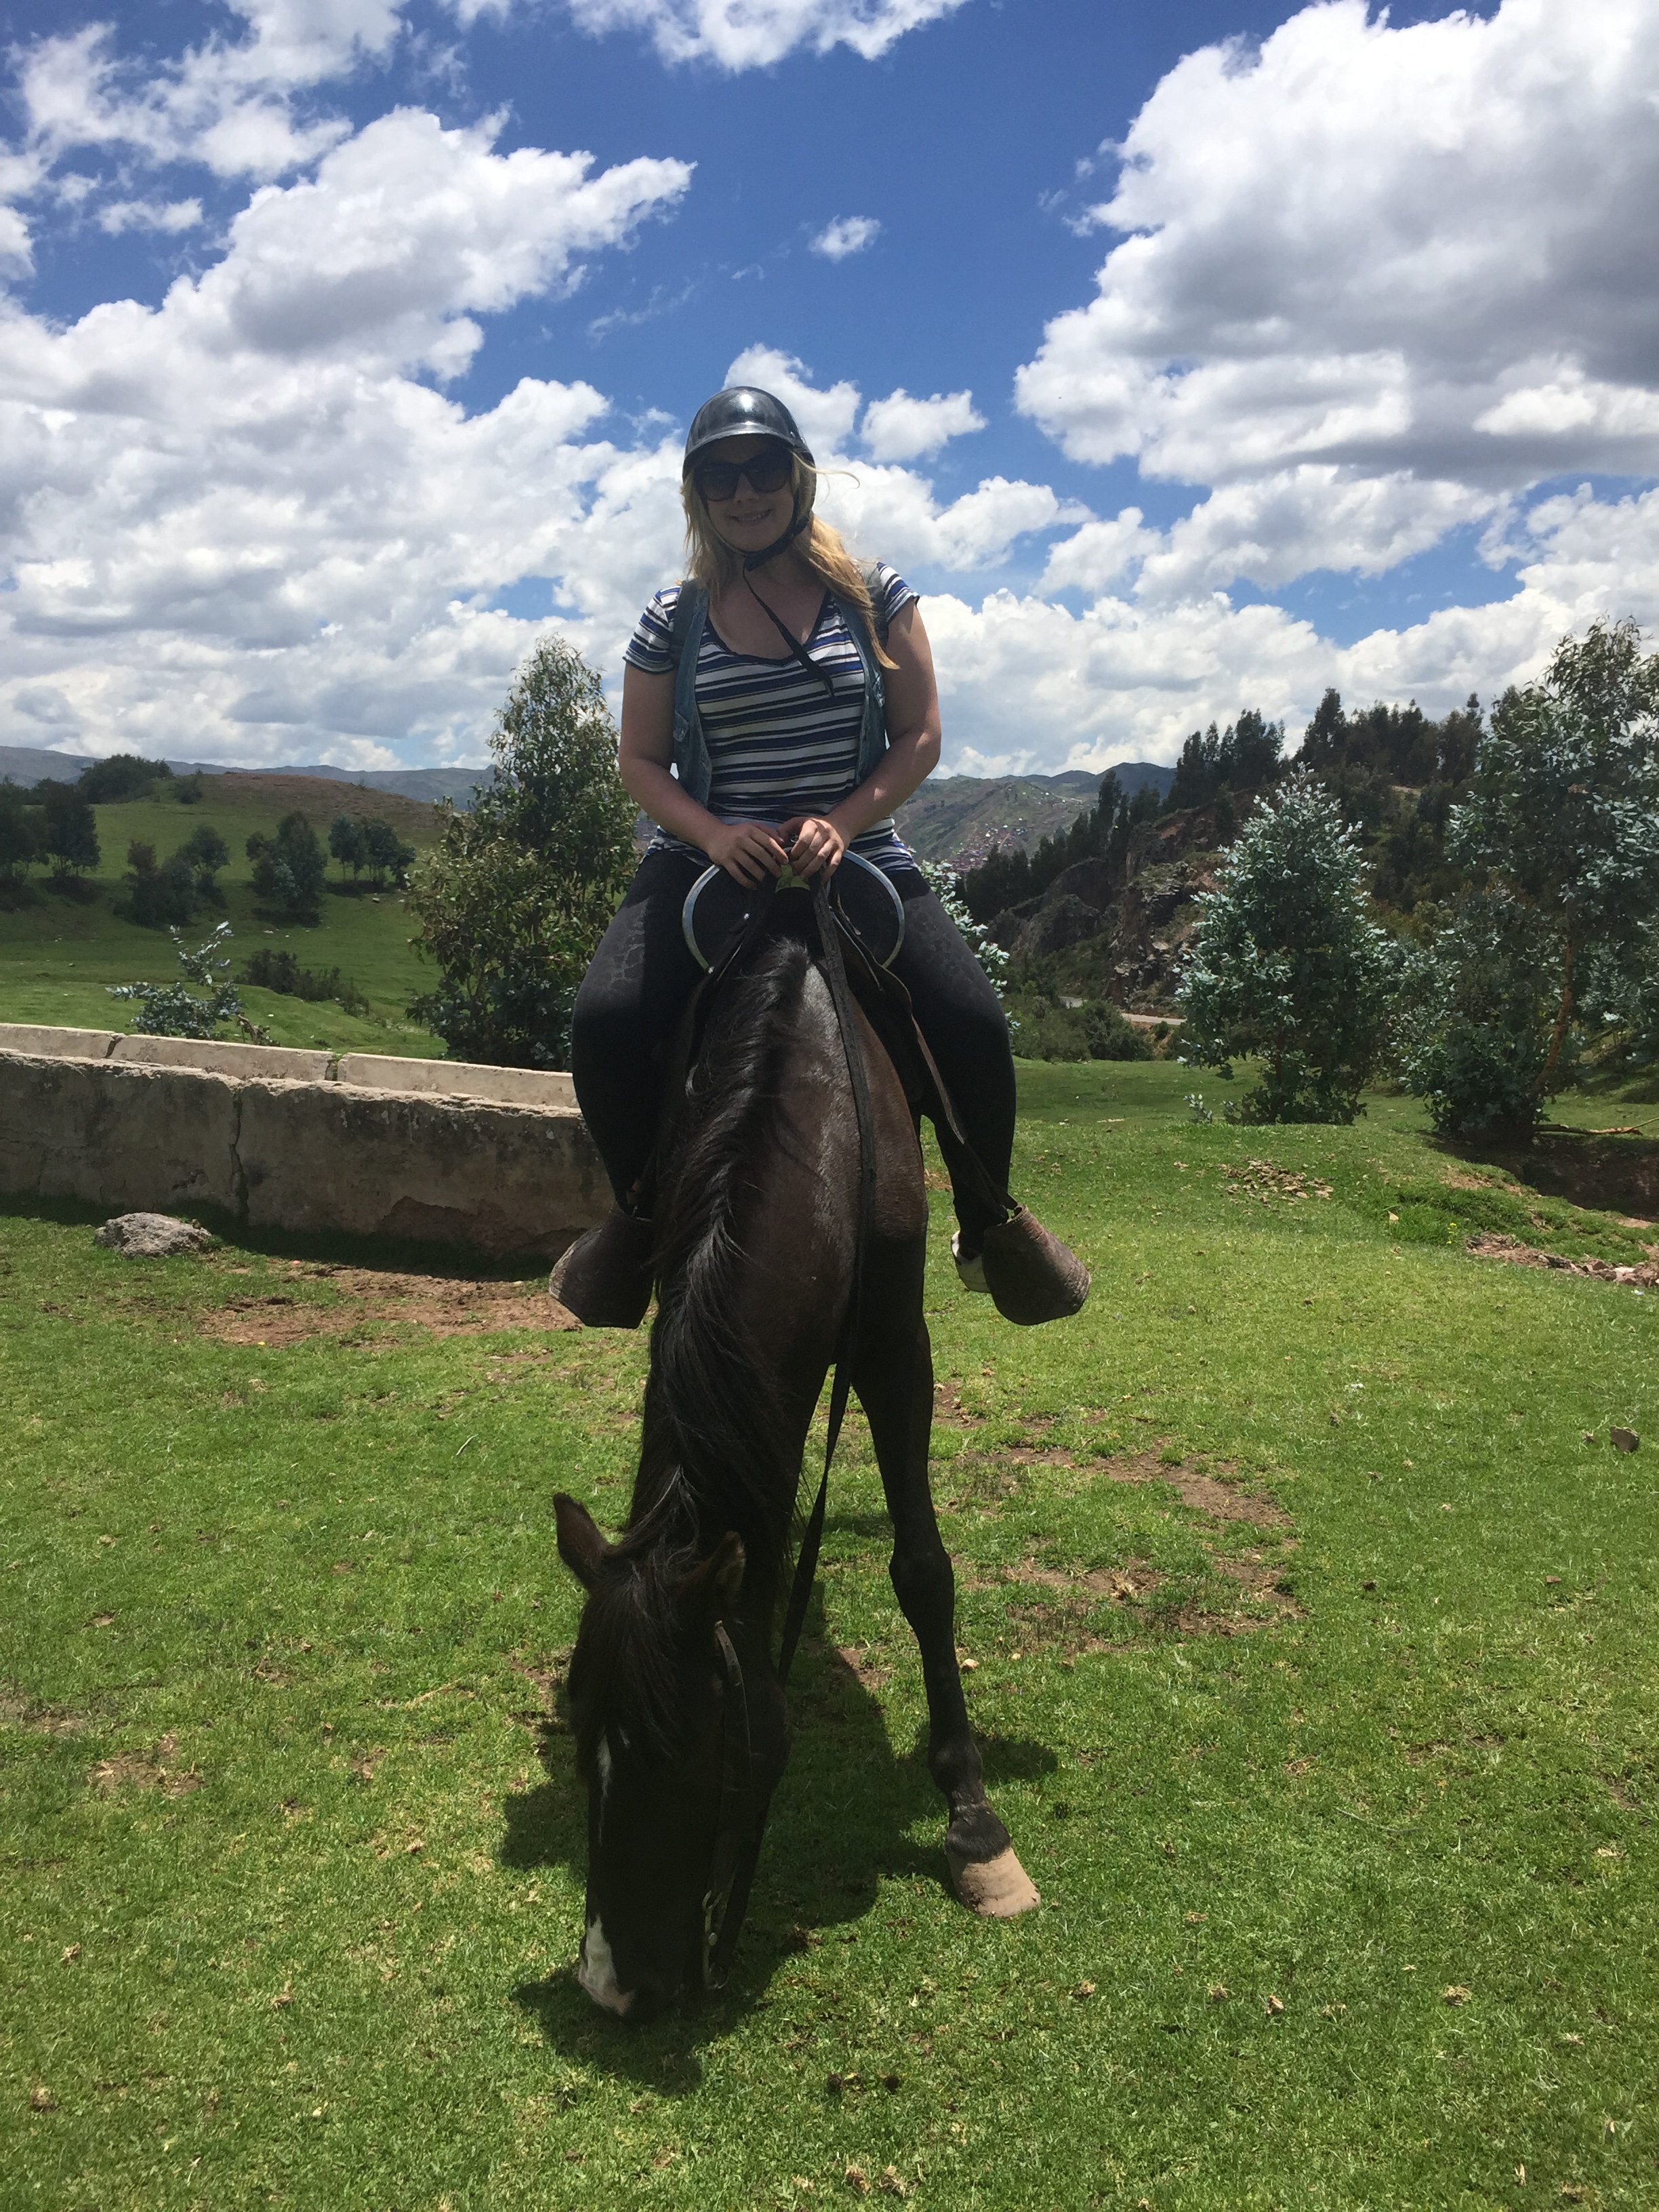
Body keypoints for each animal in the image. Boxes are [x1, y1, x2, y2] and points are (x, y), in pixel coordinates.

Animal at [553, 889, 1038, 2018]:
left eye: (692, 1754)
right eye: (583, 1737)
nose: (609, 1984)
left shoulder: (895, 1343)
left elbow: (923, 1569)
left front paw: (973, 1819)